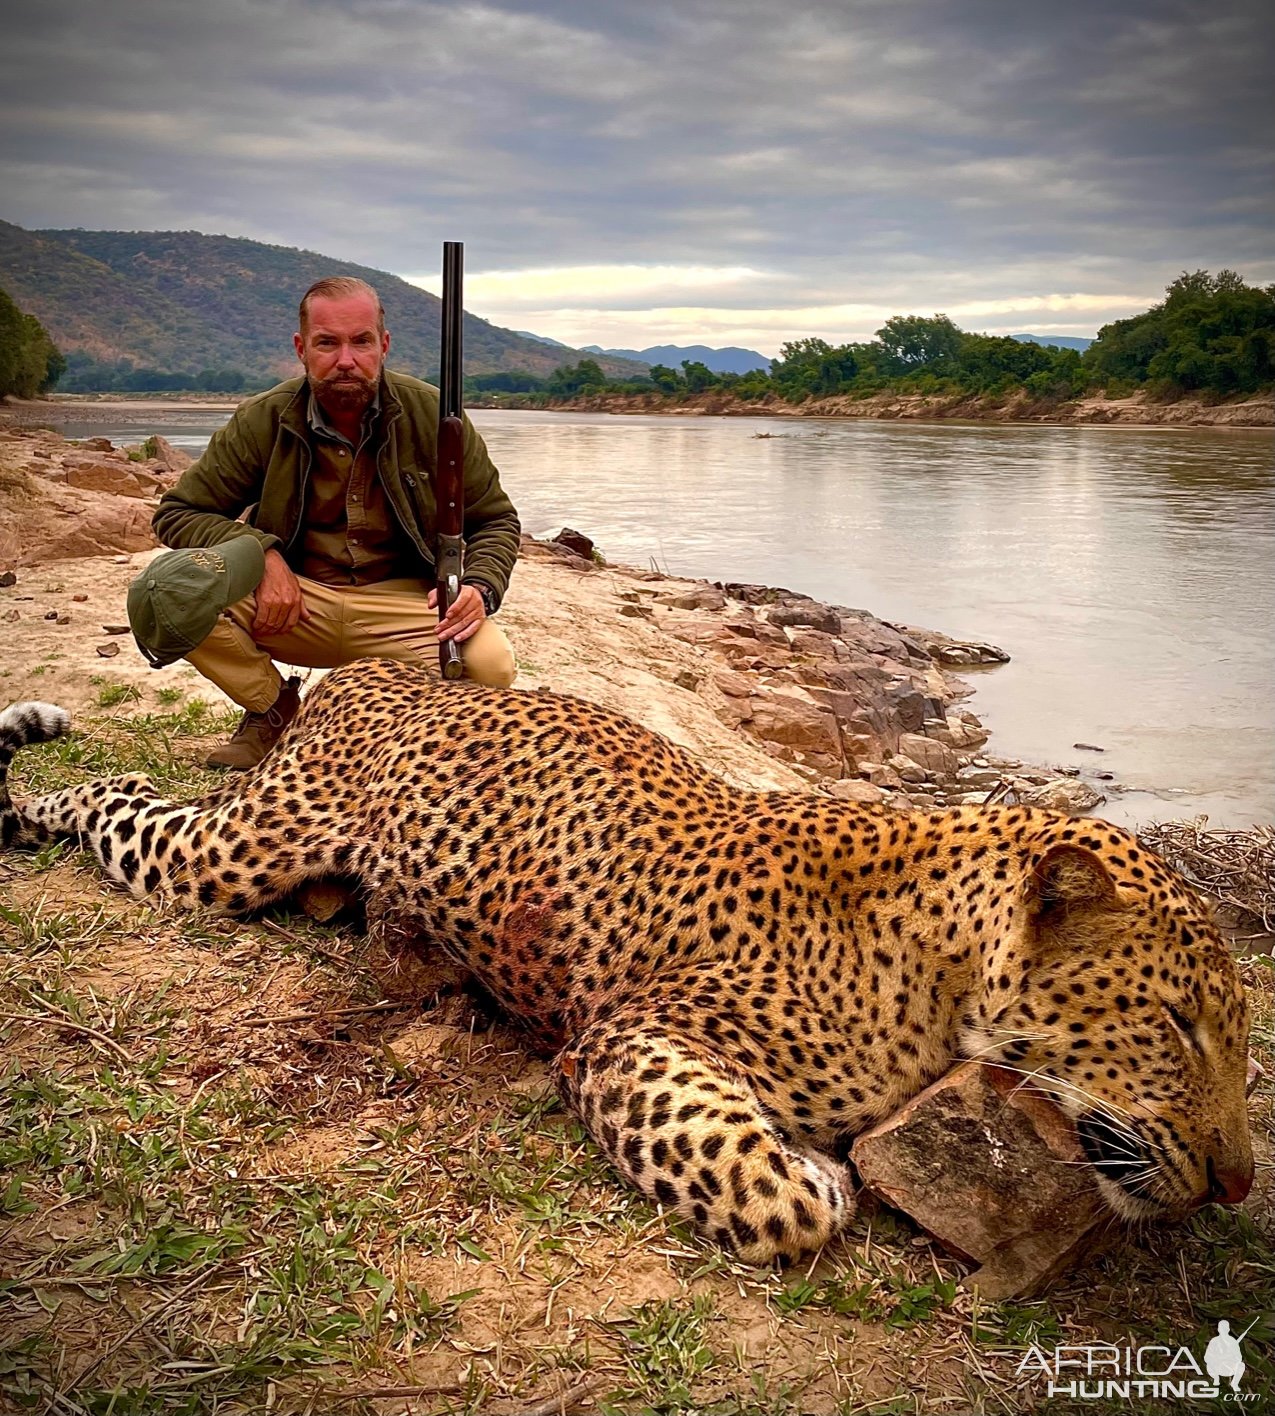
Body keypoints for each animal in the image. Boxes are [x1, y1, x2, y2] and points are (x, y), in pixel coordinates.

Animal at [0, 657, 1252, 1268]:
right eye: (1177, 1026)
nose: (1239, 1183)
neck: (938, 968)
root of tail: (367, 678)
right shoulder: (634, 1032)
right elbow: (775, 1198)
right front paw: (822, 1178)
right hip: (238, 848)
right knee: (115, 803)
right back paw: (40, 794)